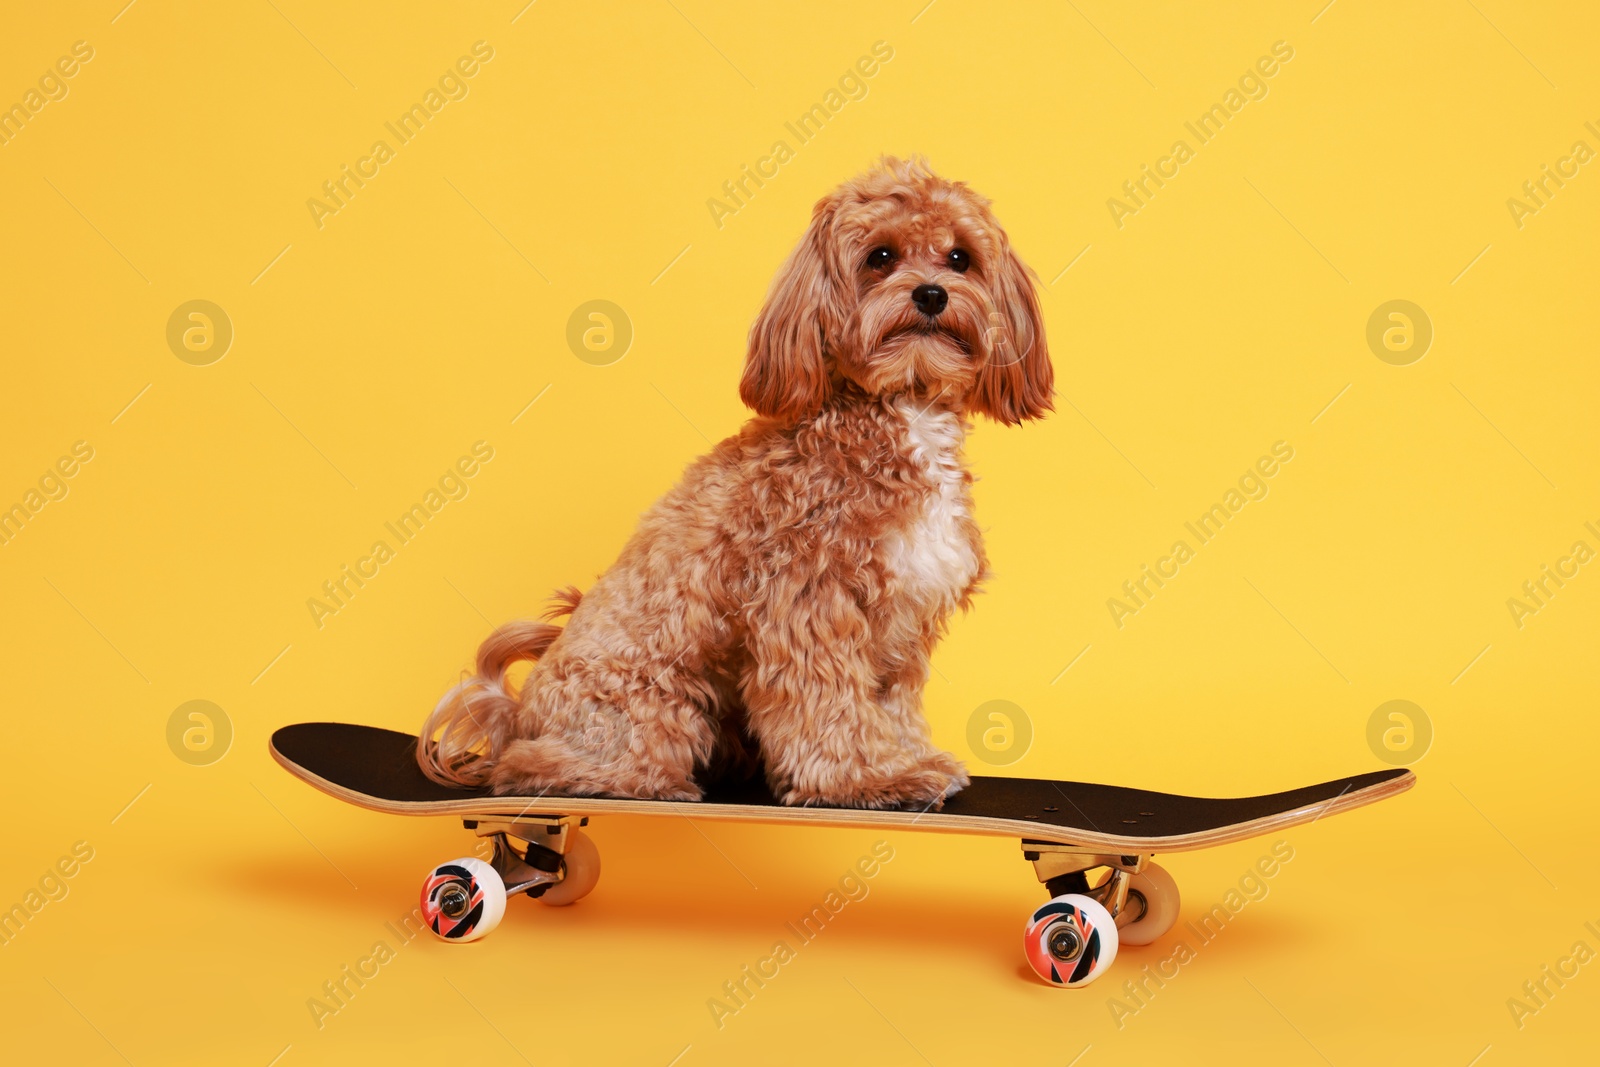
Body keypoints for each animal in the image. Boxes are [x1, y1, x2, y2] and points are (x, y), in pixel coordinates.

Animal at [419, 156, 1056, 809]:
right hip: (653, 706)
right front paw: (864, 779)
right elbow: (828, 703)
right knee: (534, 765)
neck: (902, 410)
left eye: (959, 258)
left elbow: (891, 702)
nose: (930, 294)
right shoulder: (807, 601)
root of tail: (517, 712)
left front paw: (906, 759)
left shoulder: (903, 618)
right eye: (880, 256)